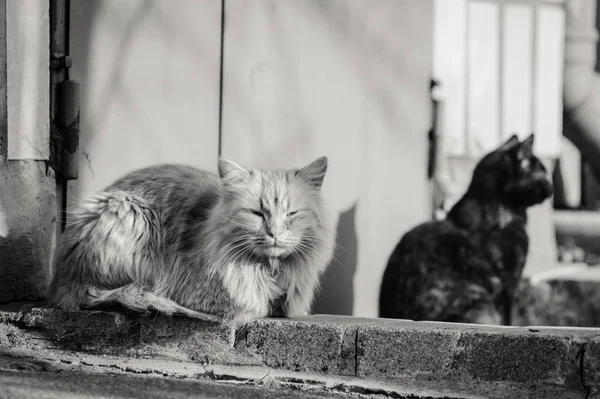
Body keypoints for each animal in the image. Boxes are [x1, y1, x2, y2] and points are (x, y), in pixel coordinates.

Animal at [47, 156, 336, 328]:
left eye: (291, 214)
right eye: (257, 214)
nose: (274, 233)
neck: (270, 269)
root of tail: (60, 281)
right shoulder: (201, 293)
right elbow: (256, 304)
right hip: (127, 210)